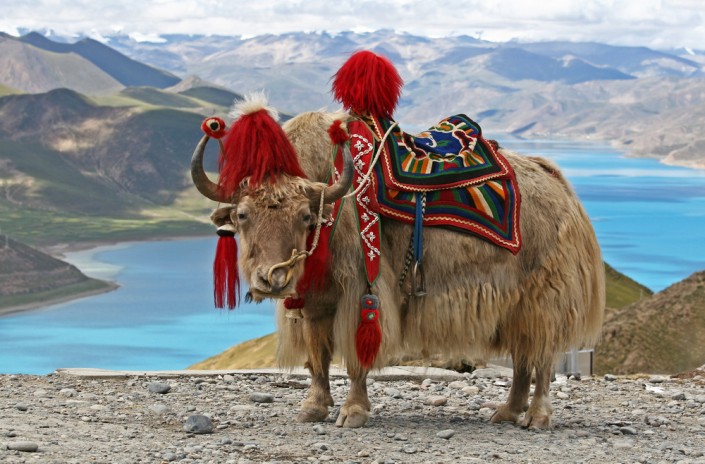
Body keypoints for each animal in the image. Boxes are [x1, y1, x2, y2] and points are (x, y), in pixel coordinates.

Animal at [190, 96, 605, 429]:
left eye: (305, 216)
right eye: (243, 215)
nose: (273, 278)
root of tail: (558, 182)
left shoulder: (360, 290)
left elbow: (355, 357)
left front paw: (353, 412)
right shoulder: (316, 299)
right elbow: (316, 356)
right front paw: (313, 408)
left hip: (543, 297)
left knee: (543, 358)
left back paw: (537, 417)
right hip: (514, 305)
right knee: (522, 356)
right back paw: (506, 412)